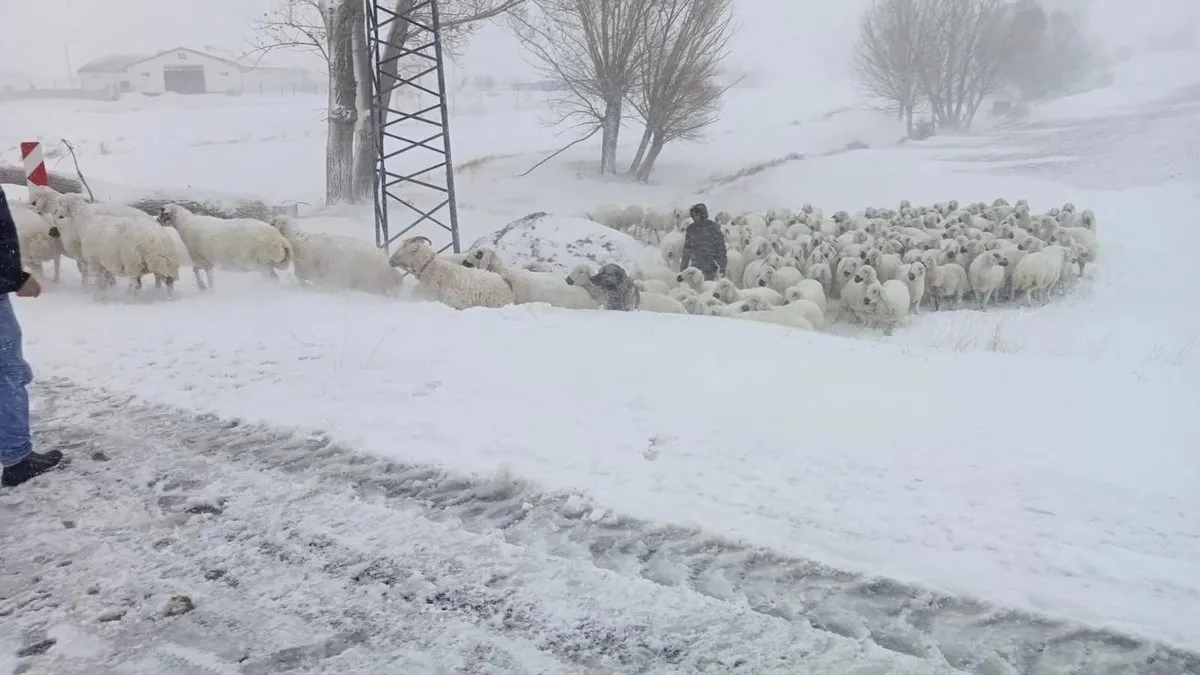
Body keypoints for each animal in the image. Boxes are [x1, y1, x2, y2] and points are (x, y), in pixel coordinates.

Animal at [158, 204, 291, 290]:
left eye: (162, 213)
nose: (158, 220)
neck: (185, 223)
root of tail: (280, 240)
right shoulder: (207, 261)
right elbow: (210, 277)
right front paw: (210, 288)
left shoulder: (200, 258)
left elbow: (195, 270)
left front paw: (202, 287)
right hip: (265, 263)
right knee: (271, 277)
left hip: (256, 262)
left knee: (273, 277)